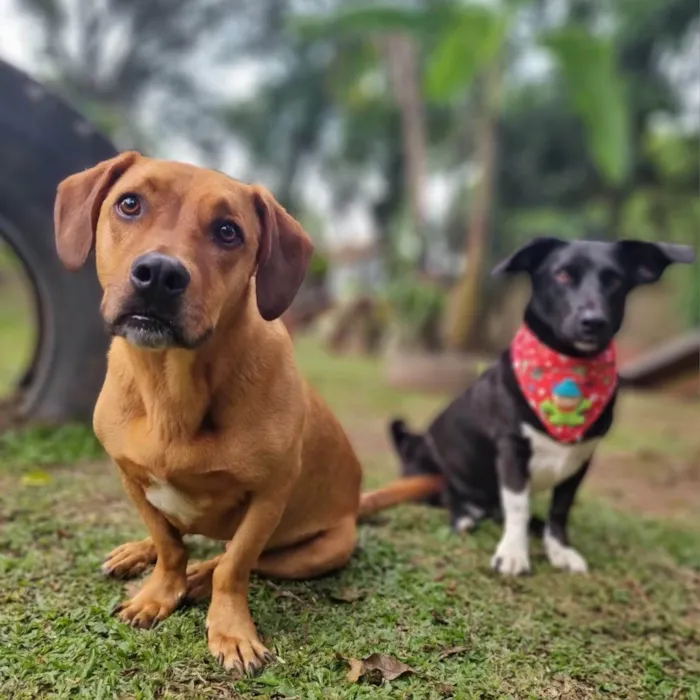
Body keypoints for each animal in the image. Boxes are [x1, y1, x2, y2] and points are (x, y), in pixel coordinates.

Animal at [54, 150, 440, 676]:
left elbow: (234, 566)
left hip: (321, 550)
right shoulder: (130, 475)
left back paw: (198, 579)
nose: (159, 274)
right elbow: (169, 543)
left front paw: (230, 629)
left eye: (227, 231)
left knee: (233, 559)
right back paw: (143, 554)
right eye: (129, 204)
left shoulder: (269, 497)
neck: (171, 390)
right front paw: (158, 590)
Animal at [388, 238, 696, 576]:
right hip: (426, 462)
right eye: (562, 275)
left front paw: (558, 548)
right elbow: (518, 505)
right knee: (451, 493)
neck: (569, 368)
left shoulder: (581, 459)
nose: (593, 321)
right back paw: (465, 515)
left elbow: (560, 508)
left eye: (614, 279)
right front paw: (512, 552)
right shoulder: (512, 450)